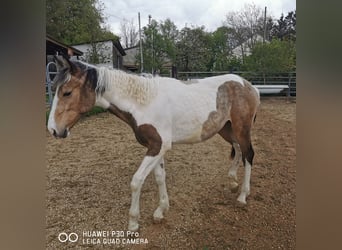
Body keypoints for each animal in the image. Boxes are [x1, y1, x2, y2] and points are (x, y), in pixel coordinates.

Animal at [47, 55, 260, 231]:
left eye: (67, 93)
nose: (53, 129)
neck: (143, 103)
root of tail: (249, 85)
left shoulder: (158, 147)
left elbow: (136, 181)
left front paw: (133, 222)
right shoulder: (156, 148)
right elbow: (159, 177)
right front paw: (161, 210)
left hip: (241, 129)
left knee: (248, 154)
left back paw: (243, 196)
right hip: (227, 129)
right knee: (238, 150)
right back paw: (232, 181)